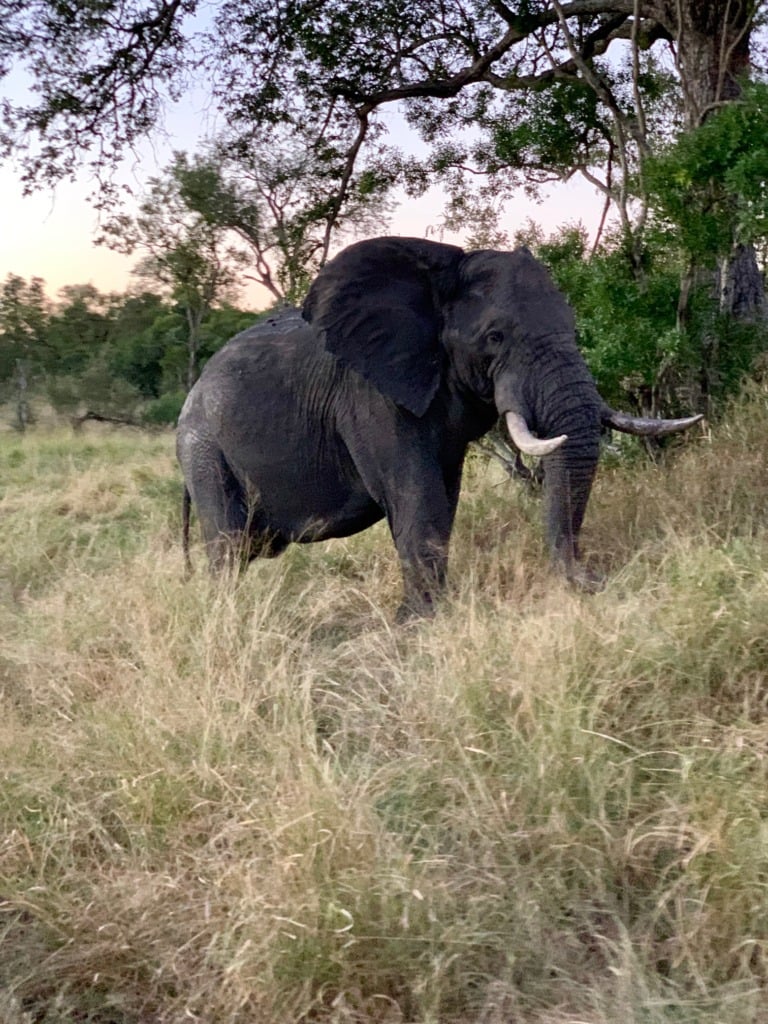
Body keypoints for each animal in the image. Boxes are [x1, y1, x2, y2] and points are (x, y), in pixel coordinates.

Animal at [176, 236, 701, 618]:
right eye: (495, 337)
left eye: (572, 329)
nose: (594, 580)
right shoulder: (369, 395)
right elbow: (416, 493)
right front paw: (422, 622)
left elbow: (443, 498)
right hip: (202, 449)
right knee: (227, 546)